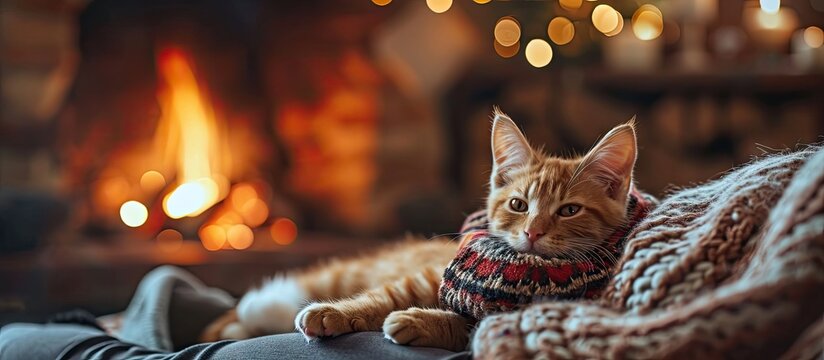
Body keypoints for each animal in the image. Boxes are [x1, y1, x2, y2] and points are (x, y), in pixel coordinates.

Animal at [203, 109, 640, 352]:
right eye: (518, 205)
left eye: (569, 210)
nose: (533, 232)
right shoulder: (430, 274)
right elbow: (387, 294)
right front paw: (337, 313)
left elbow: (471, 325)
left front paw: (418, 322)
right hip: (343, 273)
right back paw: (247, 314)